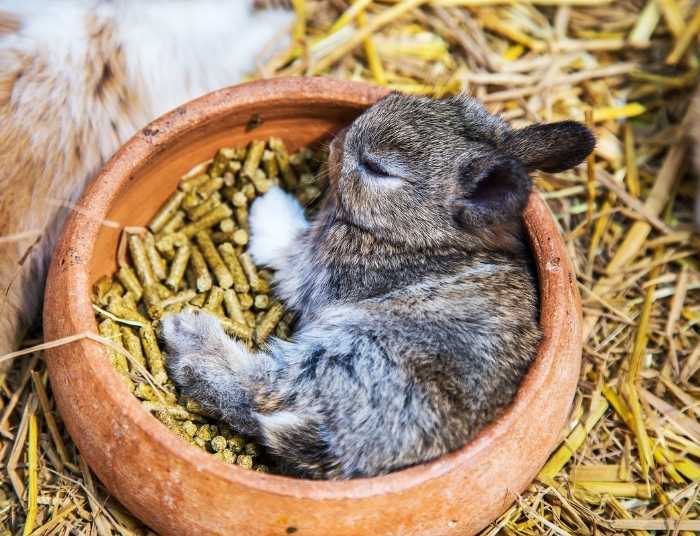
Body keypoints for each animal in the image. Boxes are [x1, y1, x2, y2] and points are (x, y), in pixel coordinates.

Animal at [161, 92, 595, 479]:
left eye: (377, 168)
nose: (337, 143)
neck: (423, 235)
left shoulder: (318, 268)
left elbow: (287, 249)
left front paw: (269, 206)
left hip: (348, 351)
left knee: (259, 391)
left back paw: (186, 333)